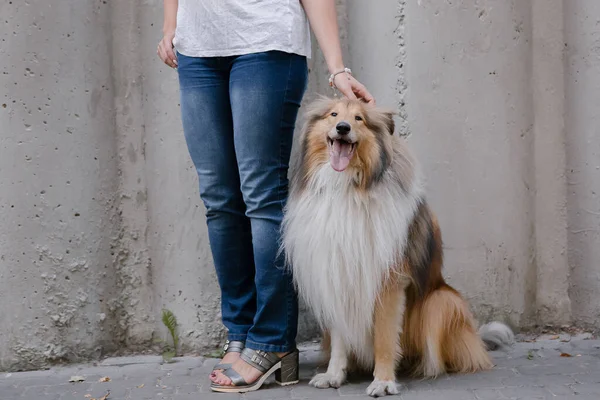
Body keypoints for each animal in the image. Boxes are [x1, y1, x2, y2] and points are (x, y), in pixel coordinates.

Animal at [280, 97, 510, 396]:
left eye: (359, 118)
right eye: (333, 114)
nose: (342, 128)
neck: (349, 186)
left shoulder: (388, 281)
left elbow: (385, 336)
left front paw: (384, 381)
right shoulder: (338, 278)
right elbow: (341, 338)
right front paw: (333, 375)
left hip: (441, 302)